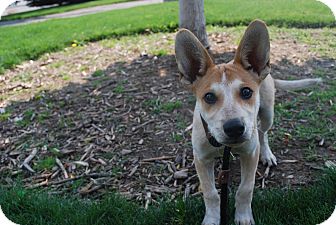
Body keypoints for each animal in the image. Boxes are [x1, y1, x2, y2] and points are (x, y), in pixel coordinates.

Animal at [175, 19, 322, 225]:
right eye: (209, 97)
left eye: (246, 92)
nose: (234, 128)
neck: (225, 147)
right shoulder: (201, 158)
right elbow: (210, 193)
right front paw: (212, 218)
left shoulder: (250, 153)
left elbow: (245, 189)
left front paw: (243, 217)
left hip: (268, 113)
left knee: (262, 133)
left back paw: (267, 154)